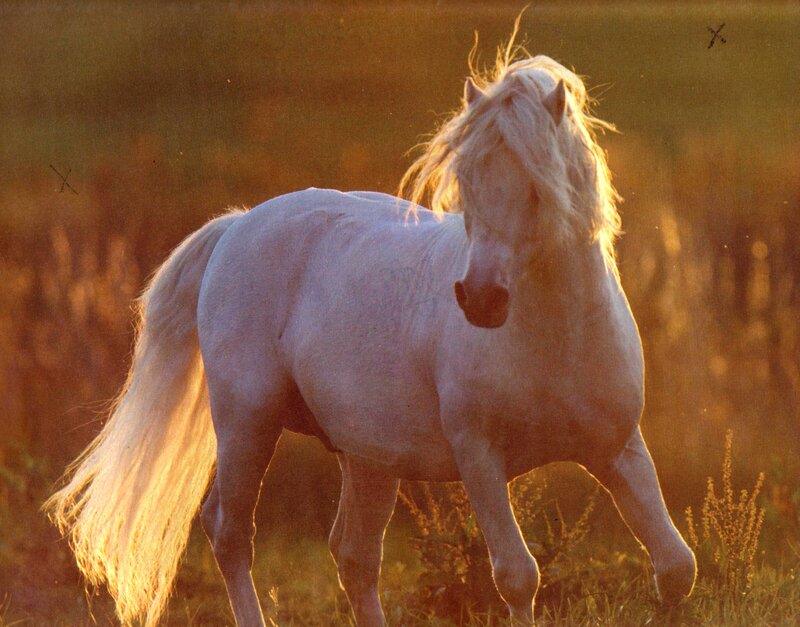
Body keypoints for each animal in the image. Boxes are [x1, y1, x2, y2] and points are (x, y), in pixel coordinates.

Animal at [45, 47, 696, 626]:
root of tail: (240, 224)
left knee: (354, 557)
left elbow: (675, 567)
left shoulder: (617, 449)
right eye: (467, 181)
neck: (556, 336)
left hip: (368, 459)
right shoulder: (480, 457)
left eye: (539, 186)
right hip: (247, 420)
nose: (481, 300)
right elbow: (517, 576)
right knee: (230, 531)